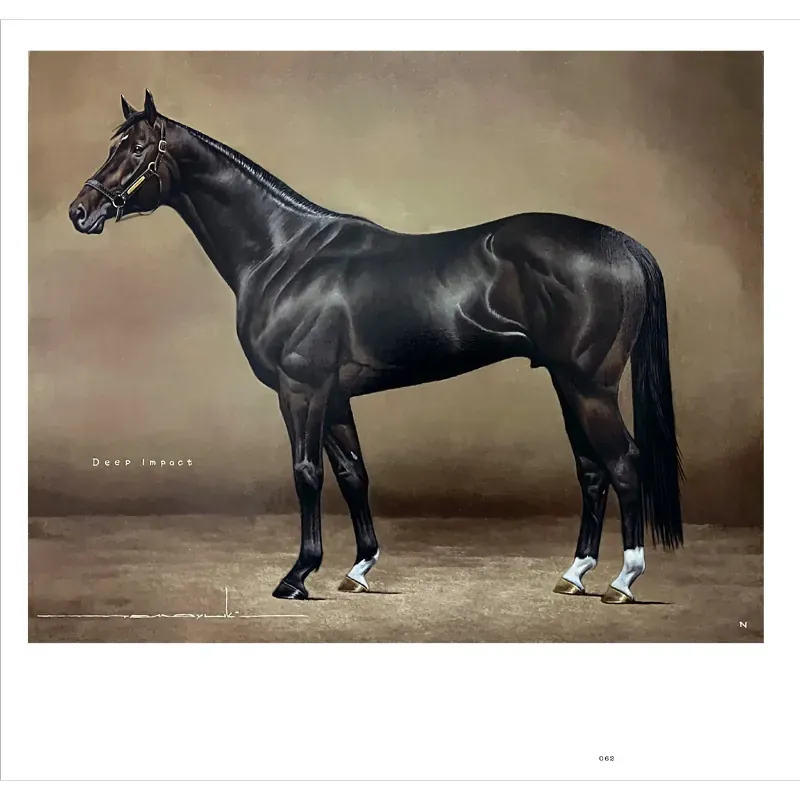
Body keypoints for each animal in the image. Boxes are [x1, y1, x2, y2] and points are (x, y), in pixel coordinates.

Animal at [68, 90, 684, 603]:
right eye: (112, 145)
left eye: (137, 149)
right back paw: (574, 575)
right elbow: (353, 475)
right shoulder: (335, 395)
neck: (284, 254)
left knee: (624, 463)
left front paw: (297, 575)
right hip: (566, 382)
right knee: (592, 470)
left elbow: (307, 474)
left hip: (589, 385)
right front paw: (358, 570)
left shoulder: (302, 389)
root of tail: (622, 244)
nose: (81, 212)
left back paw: (623, 581)